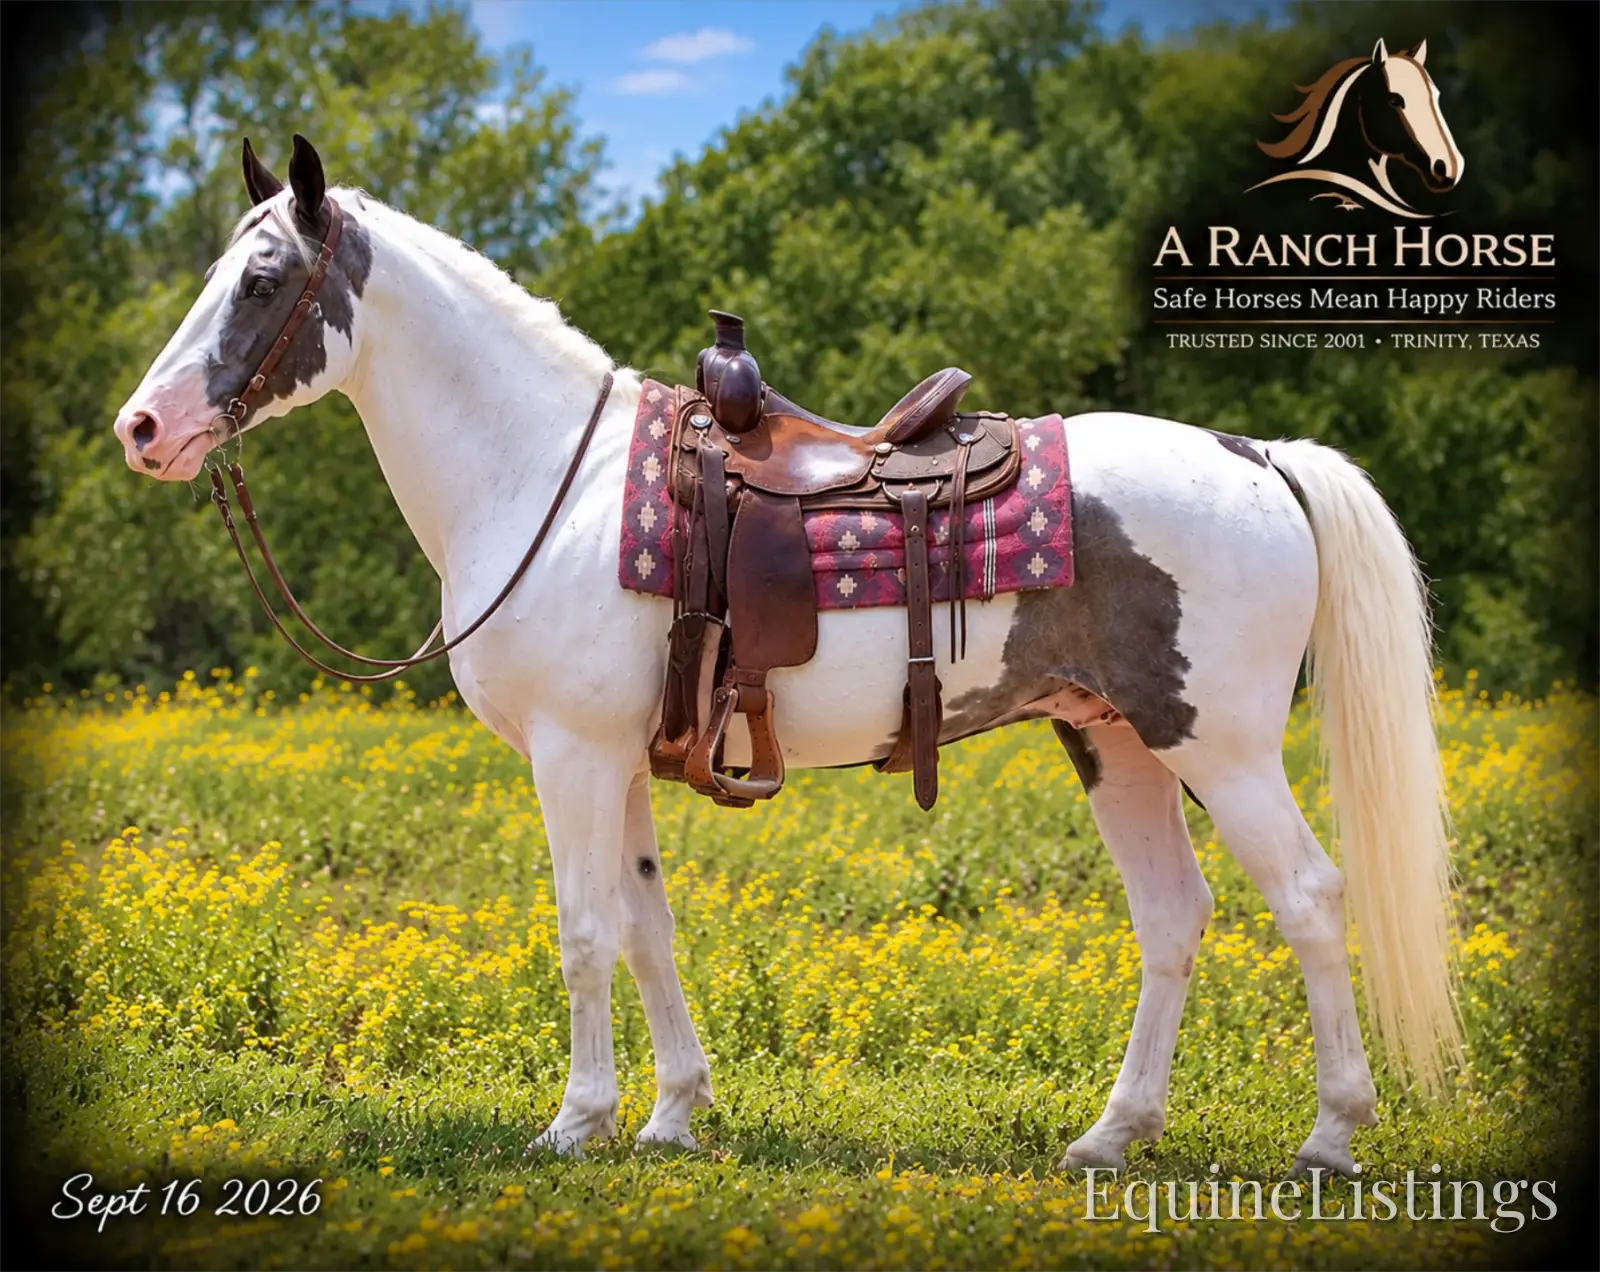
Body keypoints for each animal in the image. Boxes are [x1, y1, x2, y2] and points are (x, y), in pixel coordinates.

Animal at [112, 135, 1460, 1176]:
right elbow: (646, 927)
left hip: (1216, 745)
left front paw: (575, 1124)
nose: (143, 427)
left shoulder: (570, 755)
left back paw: (1330, 1136)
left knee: (1309, 898)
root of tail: (1258, 454)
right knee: (1172, 917)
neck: (547, 476)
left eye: (262, 279)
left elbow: (582, 929)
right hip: (1111, 741)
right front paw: (671, 1117)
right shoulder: (623, 760)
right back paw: (1110, 1136)